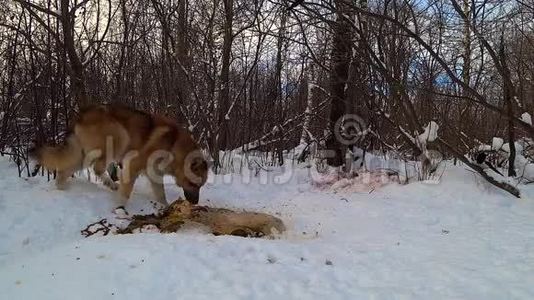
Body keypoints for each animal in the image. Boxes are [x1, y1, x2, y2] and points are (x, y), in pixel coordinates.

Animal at [32, 104, 209, 205]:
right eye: (193, 184)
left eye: (201, 186)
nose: (195, 203)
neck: (173, 147)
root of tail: (81, 116)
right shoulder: (133, 165)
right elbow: (126, 192)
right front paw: (120, 211)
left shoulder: (154, 175)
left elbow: (161, 195)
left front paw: (165, 208)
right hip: (119, 138)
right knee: (97, 167)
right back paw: (110, 184)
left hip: (81, 155)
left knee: (64, 170)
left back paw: (63, 190)